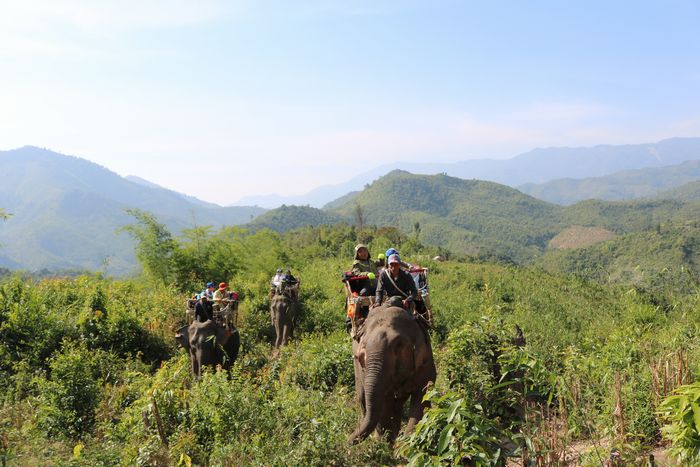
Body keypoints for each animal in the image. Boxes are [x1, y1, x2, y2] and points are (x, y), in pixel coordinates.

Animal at [350, 306, 438, 444]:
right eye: (361, 355)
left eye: (399, 346)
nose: (347, 441)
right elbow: (385, 404)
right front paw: (386, 443)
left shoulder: (426, 358)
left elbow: (422, 398)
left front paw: (407, 444)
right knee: (362, 397)